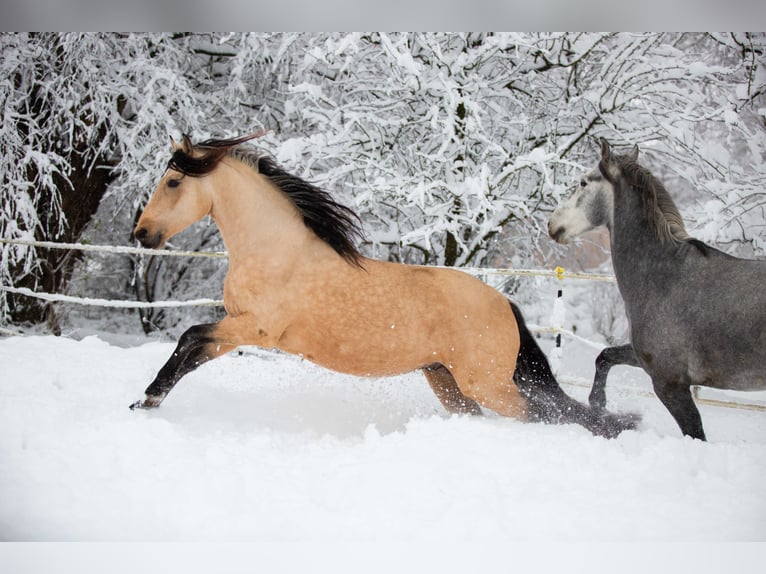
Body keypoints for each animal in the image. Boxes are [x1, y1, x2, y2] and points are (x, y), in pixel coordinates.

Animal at [129, 133, 639, 438]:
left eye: (173, 181)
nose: (142, 234)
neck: (277, 251)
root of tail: (504, 303)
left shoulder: (256, 329)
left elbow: (189, 337)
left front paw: (147, 398)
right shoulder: (238, 328)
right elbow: (193, 350)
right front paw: (146, 399)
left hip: (487, 385)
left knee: (541, 414)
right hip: (447, 382)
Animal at [548, 138, 766, 440]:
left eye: (583, 183)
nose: (552, 224)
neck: (665, 277)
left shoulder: (669, 383)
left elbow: (695, 433)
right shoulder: (644, 359)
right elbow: (604, 356)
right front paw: (598, 403)